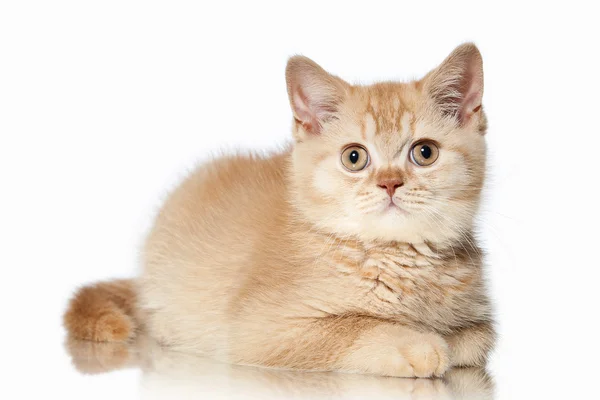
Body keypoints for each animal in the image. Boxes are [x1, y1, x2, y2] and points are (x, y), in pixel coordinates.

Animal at [65, 44, 496, 378]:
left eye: (424, 152)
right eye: (354, 157)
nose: (390, 183)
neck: (394, 257)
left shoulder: (482, 322)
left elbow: (474, 340)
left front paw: (443, 336)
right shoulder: (255, 329)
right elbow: (353, 327)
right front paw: (416, 344)